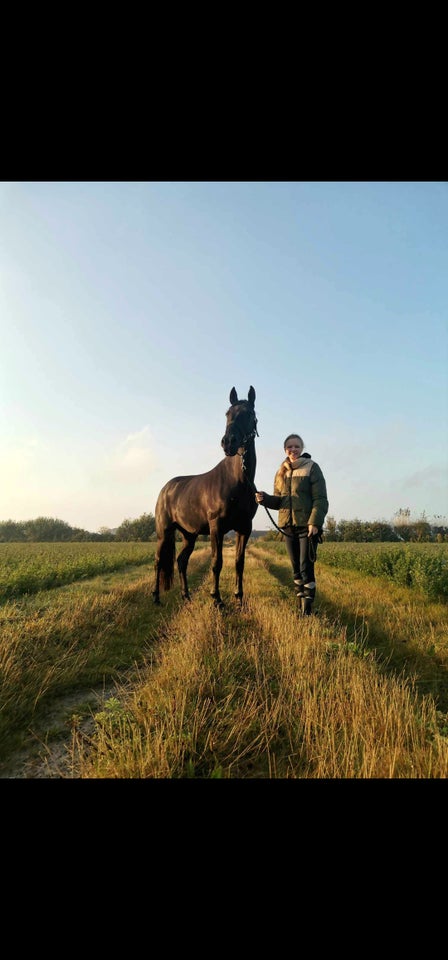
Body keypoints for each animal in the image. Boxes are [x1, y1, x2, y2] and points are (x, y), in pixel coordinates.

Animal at [153, 384, 260, 608]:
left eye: (249, 414)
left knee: (181, 561)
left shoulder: (245, 527)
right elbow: (216, 562)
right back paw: (156, 597)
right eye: (227, 413)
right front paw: (216, 598)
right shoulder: (216, 526)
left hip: (189, 535)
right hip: (164, 532)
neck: (238, 480)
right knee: (158, 560)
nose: (228, 442)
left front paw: (239, 598)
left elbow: (239, 562)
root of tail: (165, 489)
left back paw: (186, 596)